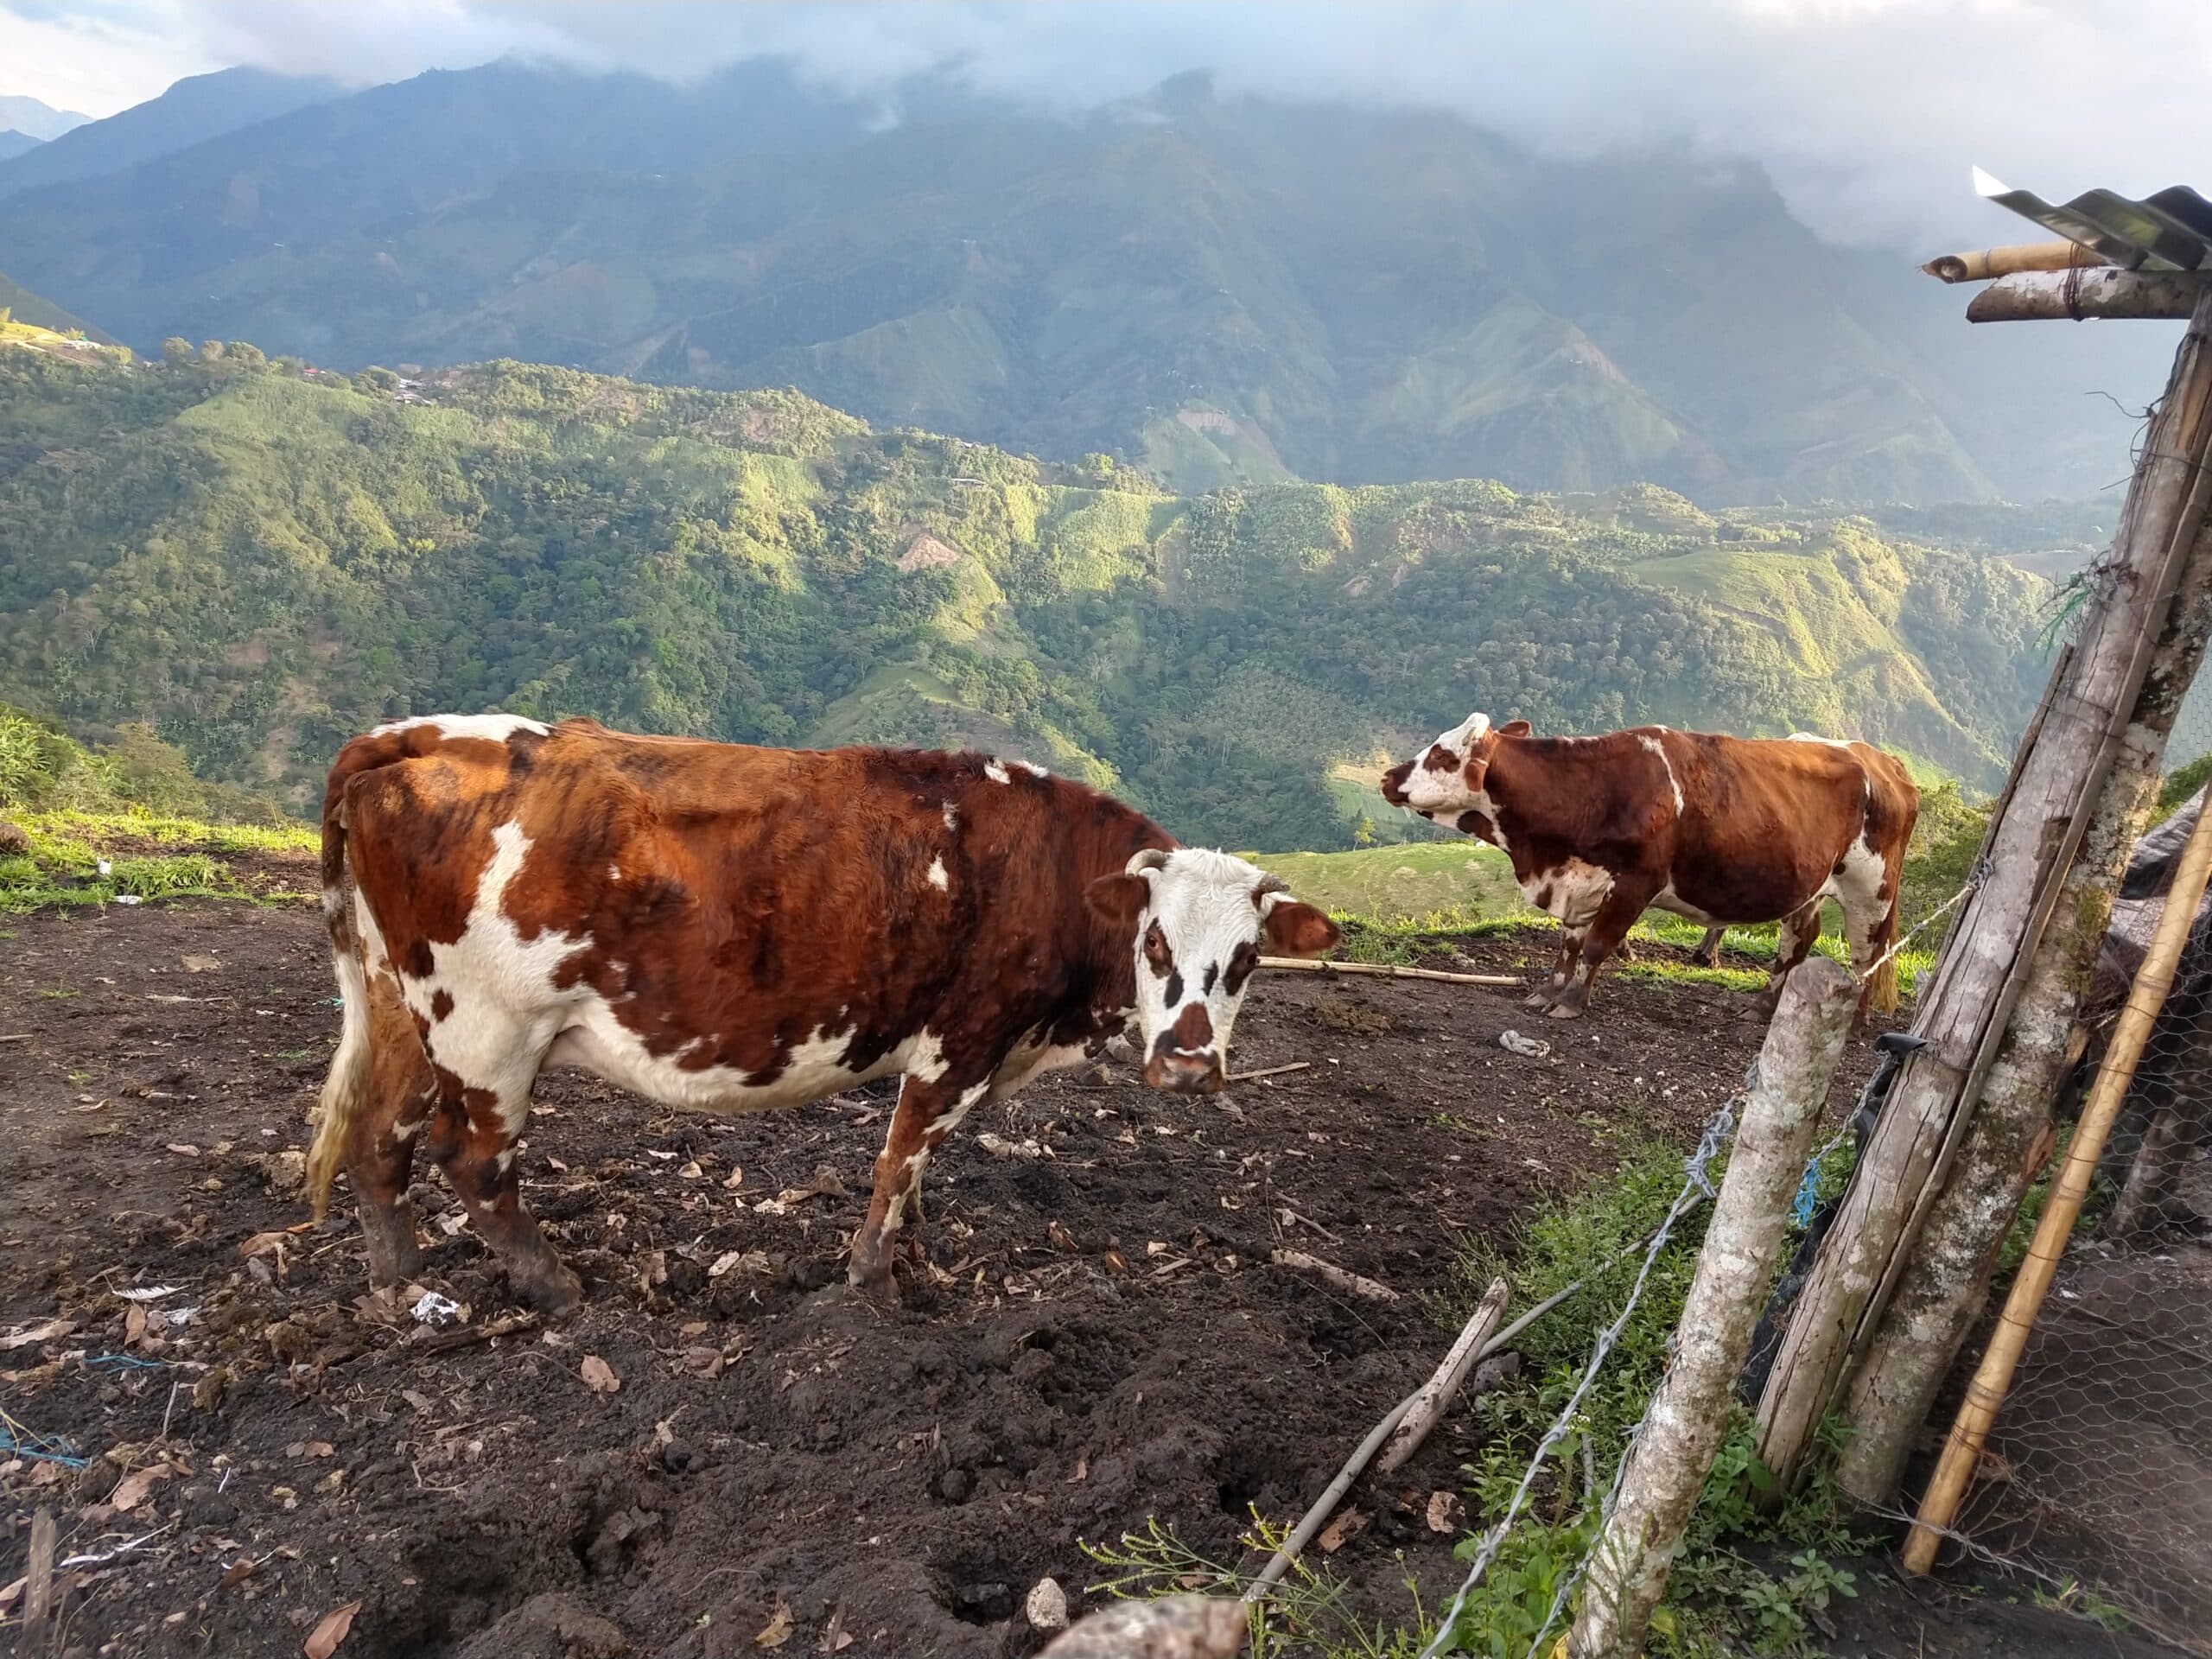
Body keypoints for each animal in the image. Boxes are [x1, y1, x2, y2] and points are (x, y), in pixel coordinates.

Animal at [304, 715, 1339, 1311]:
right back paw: (551, 1285)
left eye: (1248, 958)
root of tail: (417, 734)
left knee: (379, 1138)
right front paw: (874, 1280)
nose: (1189, 1066)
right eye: (1155, 943)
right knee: (470, 1159)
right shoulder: (959, 1040)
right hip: (489, 1030)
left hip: (407, 1010)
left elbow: (919, 1170)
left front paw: (914, 1249)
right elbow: (900, 1156)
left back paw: (398, 1279)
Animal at [1380, 715, 1917, 1023]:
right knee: (1798, 942)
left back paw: (1855, 1021)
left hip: (1871, 889)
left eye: (1441, 754)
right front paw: (1546, 992)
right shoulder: (1580, 882)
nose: (1387, 776)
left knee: (1868, 955)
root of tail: (1878, 758)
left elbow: (1597, 945)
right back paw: (1763, 1007)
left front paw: (1570, 1004)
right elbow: (1568, 946)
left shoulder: (1636, 883)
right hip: (1808, 884)